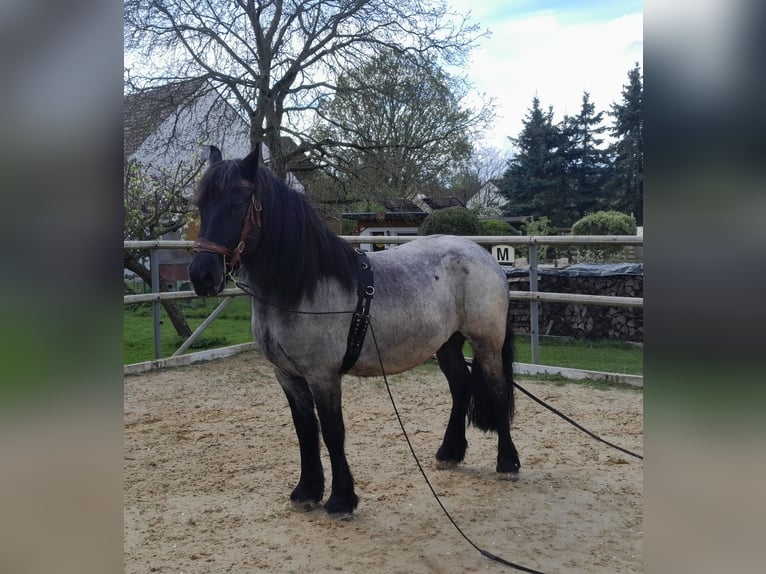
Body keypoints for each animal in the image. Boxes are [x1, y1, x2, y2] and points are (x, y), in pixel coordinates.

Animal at [188, 146, 521, 518]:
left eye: (237, 204)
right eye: (201, 204)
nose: (202, 275)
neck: (301, 286)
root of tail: (485, 256)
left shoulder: (322, 375)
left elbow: (333, 432)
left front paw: (341, 500)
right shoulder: (287, 376)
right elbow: (305, 430)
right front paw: (306, 492)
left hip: (486, 342)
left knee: (497, 390)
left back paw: (507, 463)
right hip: (447, 343)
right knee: (460, 386)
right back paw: (449, 453)